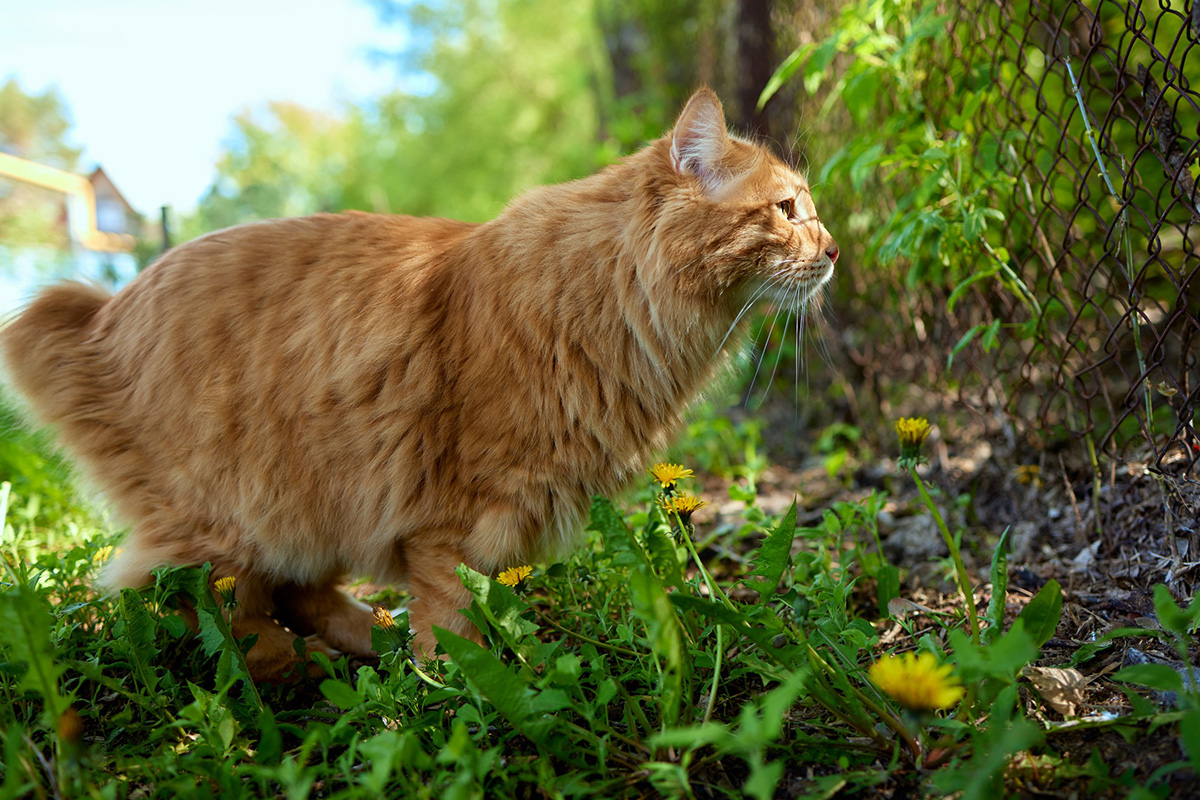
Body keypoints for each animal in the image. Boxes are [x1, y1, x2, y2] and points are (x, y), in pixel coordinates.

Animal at [2, 92, 835, 681]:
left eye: (810, 211)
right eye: (787, 210)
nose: (831, 248)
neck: (607, 293)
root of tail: (101, 313)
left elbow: (482, 610)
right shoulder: (450, 518)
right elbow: (453, 624)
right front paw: (459, 694)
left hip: (304, 510)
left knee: (293, 594)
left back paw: (370, 643)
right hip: (228, 520)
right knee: (204, 613)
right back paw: (303, 666)